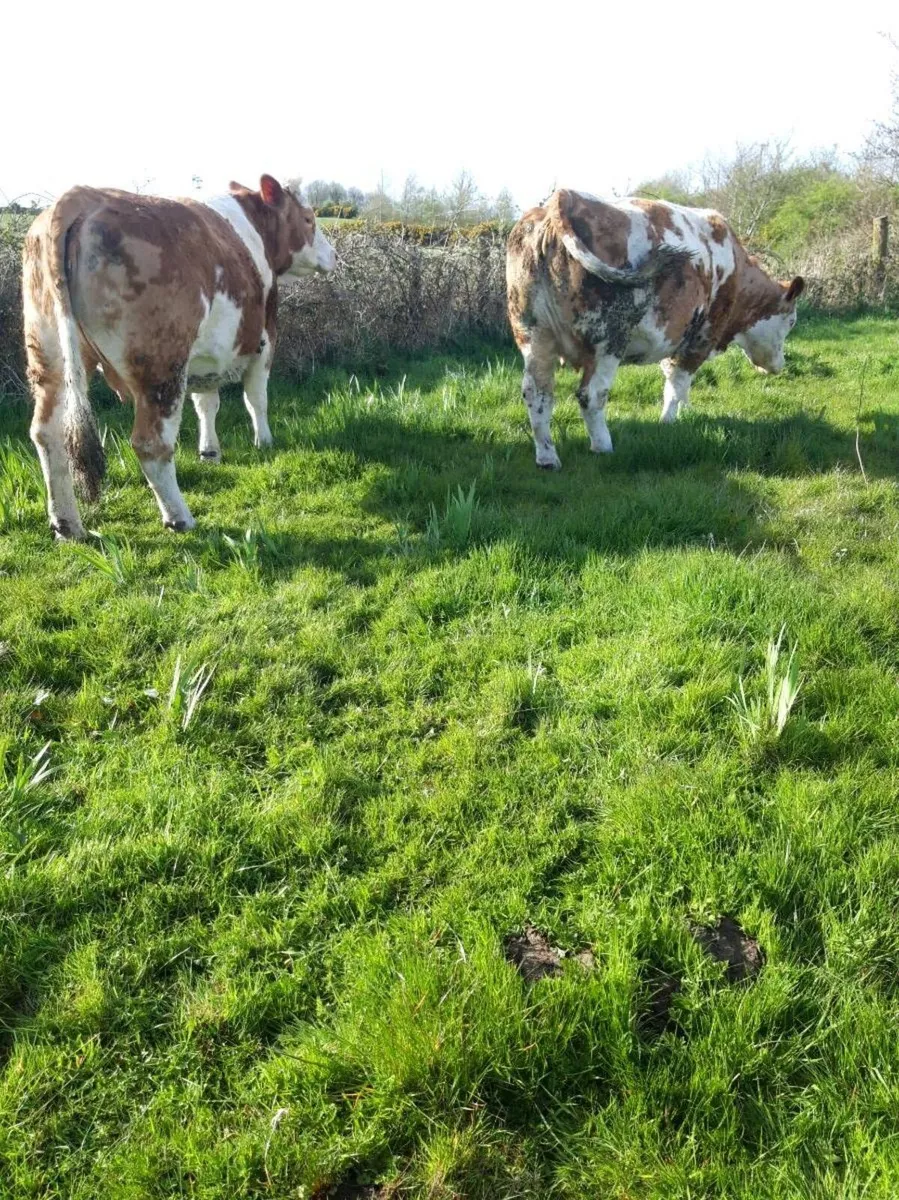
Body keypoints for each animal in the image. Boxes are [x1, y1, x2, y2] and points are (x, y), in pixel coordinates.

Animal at [22, 174, 336, 539]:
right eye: (309, 219)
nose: (333, 254)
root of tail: (79, 197)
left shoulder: (206, 355)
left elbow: (206, 403)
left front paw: (209, 451)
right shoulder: (265, 340)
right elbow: (256, 398)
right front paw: (264, 441)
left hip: (49, 355)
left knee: (47, 434)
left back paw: (67, 525)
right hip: (161, 365)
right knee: (150, 443)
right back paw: (179, 517)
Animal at [506, 189, 804, 469]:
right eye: (791, 321)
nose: (780, 364)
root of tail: (565, 196)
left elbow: (675, 380)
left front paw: (687, 411)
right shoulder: (701, 336)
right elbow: (677, 382)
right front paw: (669, 421)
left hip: (534, 336)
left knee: (537, 394)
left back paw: (547, 457)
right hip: (609, 341)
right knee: (591, 394)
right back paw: (603, 447)